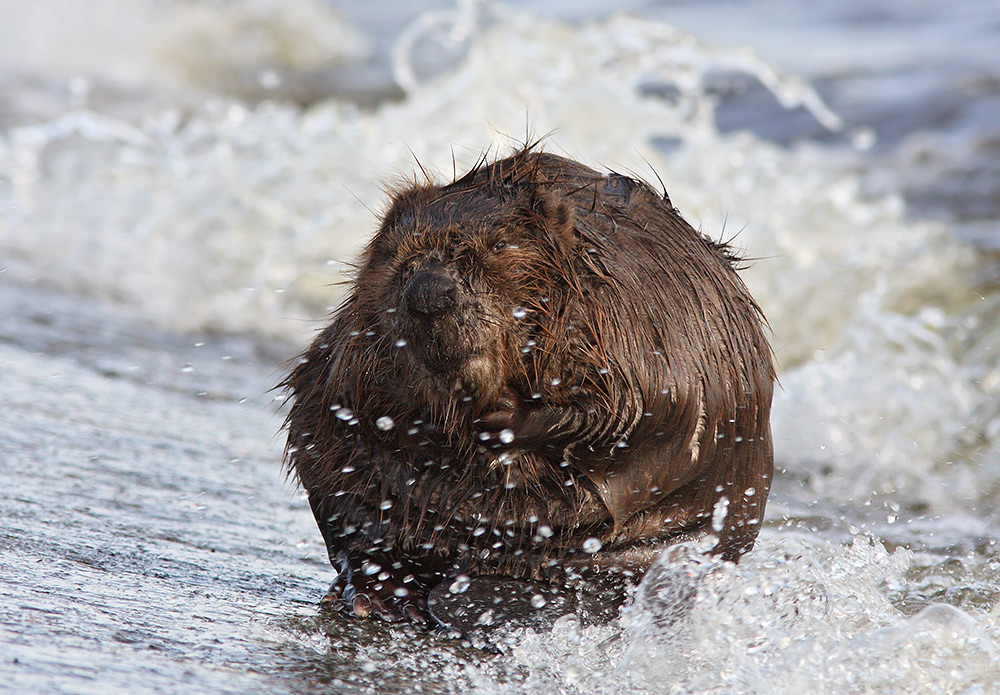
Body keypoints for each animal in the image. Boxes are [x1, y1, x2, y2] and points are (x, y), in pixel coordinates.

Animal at [282, 148, 772, 624]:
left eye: (500, 245)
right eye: (399, 251)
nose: (429, 292)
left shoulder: (627, 325)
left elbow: (630, 409)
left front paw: (499, 417)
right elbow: (345, 389)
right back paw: (384, 597)